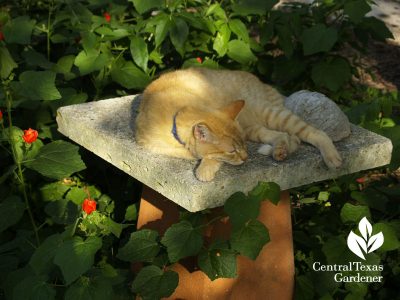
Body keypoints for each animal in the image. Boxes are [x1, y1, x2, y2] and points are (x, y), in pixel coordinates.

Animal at [136, 67, 342, 180]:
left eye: (242, 146)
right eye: (232, 150)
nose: (245, 158)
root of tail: (262, 83)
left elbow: (210, 157)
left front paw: (205, 170)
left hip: (274, 115)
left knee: (314, 133)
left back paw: (332, 157)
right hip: (256, 128)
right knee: (286, 137)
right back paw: (279, 151)